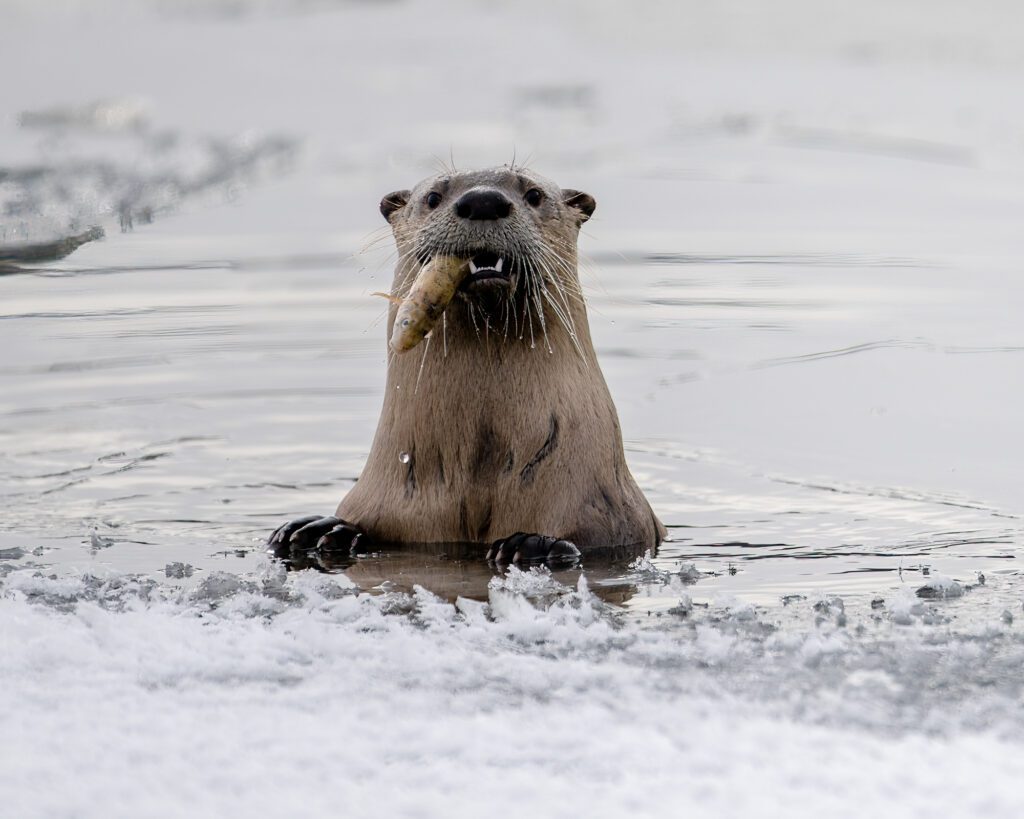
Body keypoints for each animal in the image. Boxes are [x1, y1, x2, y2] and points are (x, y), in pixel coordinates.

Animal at [269, 166, 664, 563]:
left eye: (534, 194)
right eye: (432, 197)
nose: (483, 200)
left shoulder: (611, 513)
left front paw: (535, 543)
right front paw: (322, 529)